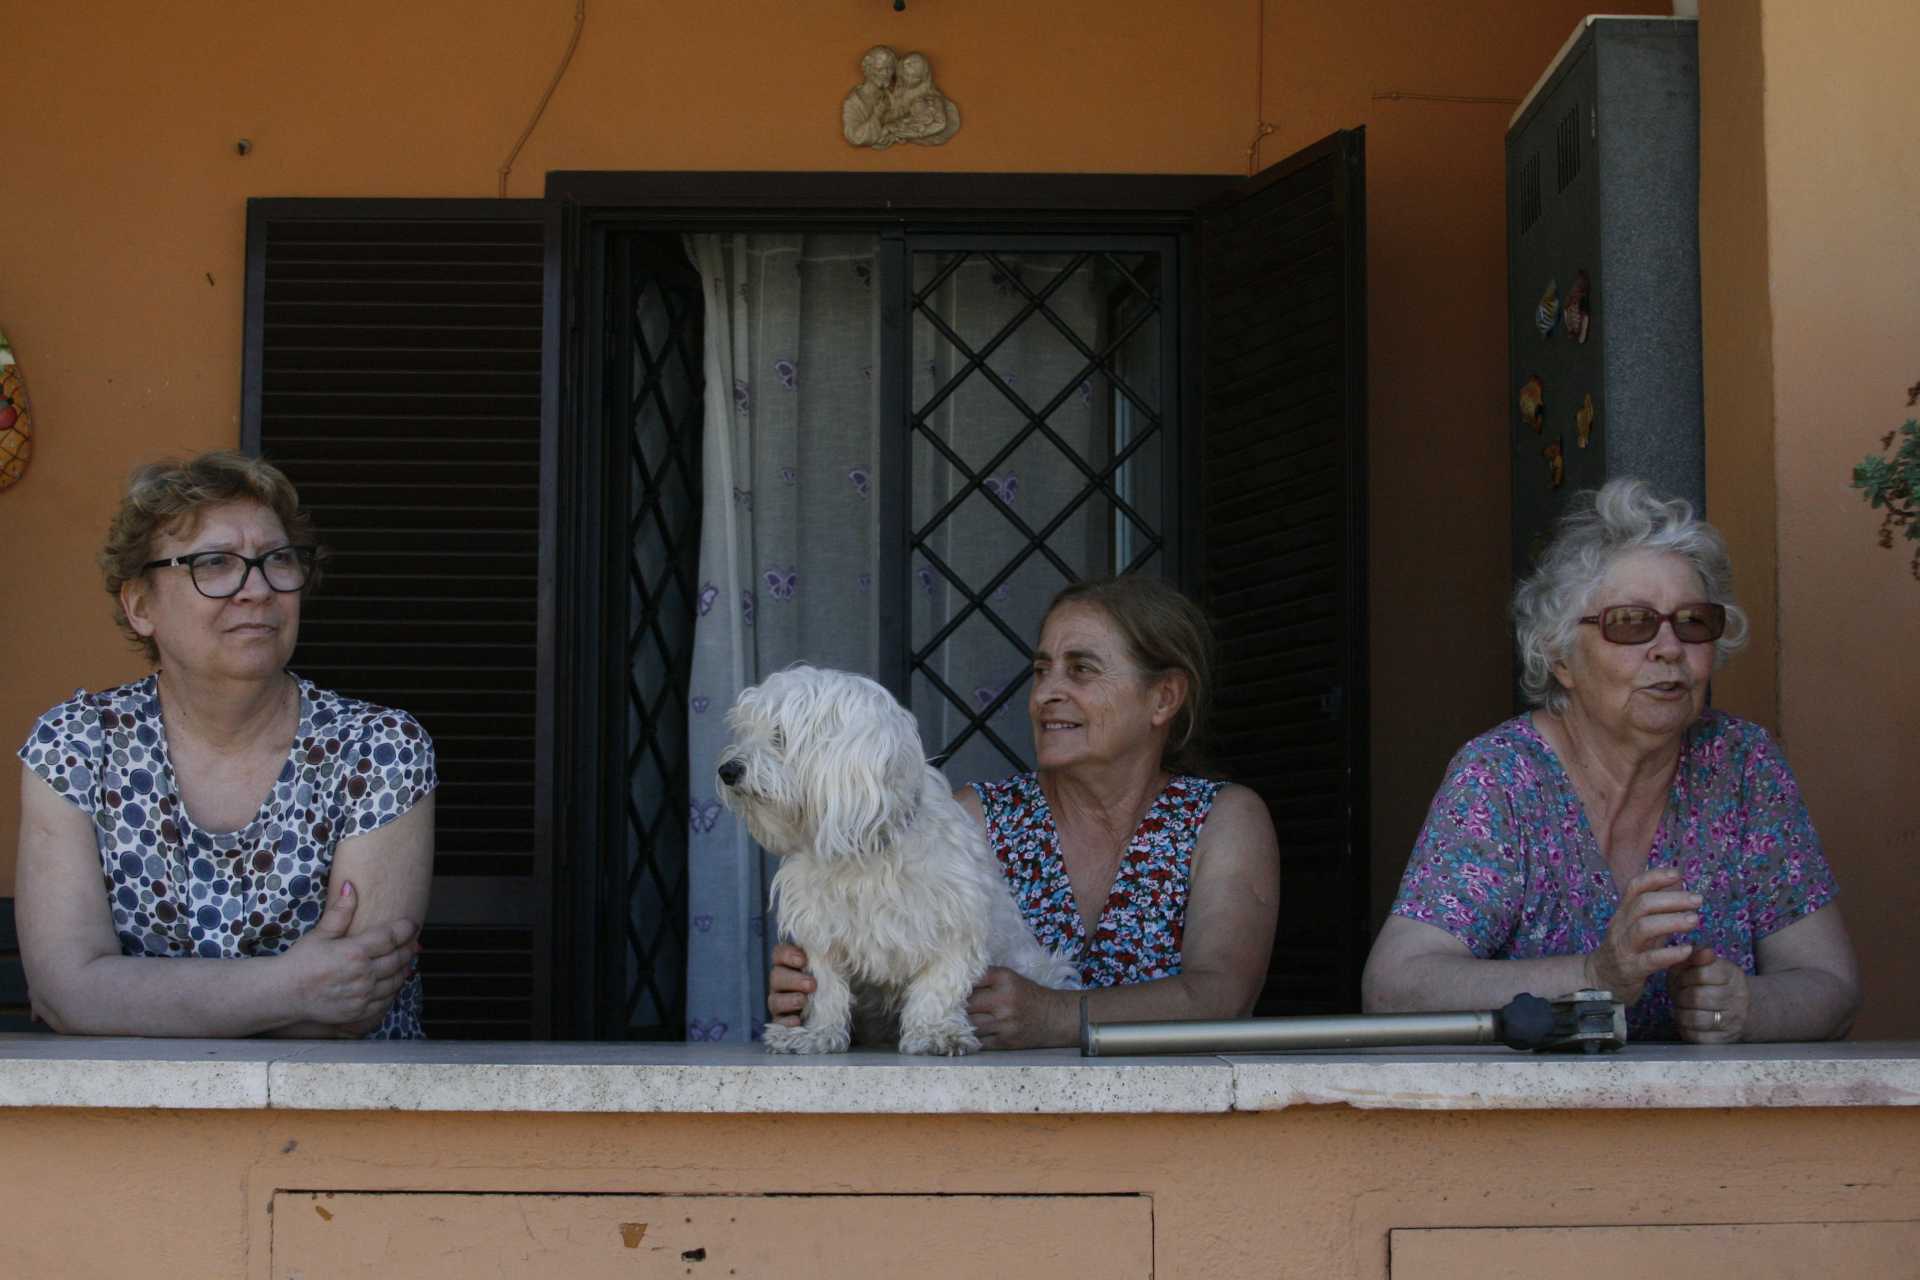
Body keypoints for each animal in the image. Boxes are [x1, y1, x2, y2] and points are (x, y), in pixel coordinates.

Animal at [718, 667, 1082, 1059]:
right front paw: (816, 1034)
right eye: (745, 730)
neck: (863, 850)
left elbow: (939, 986)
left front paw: (936, 1032)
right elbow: (825, 988)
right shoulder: (820, 932)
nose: (727, 770)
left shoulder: (954, 925)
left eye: (779, 735)